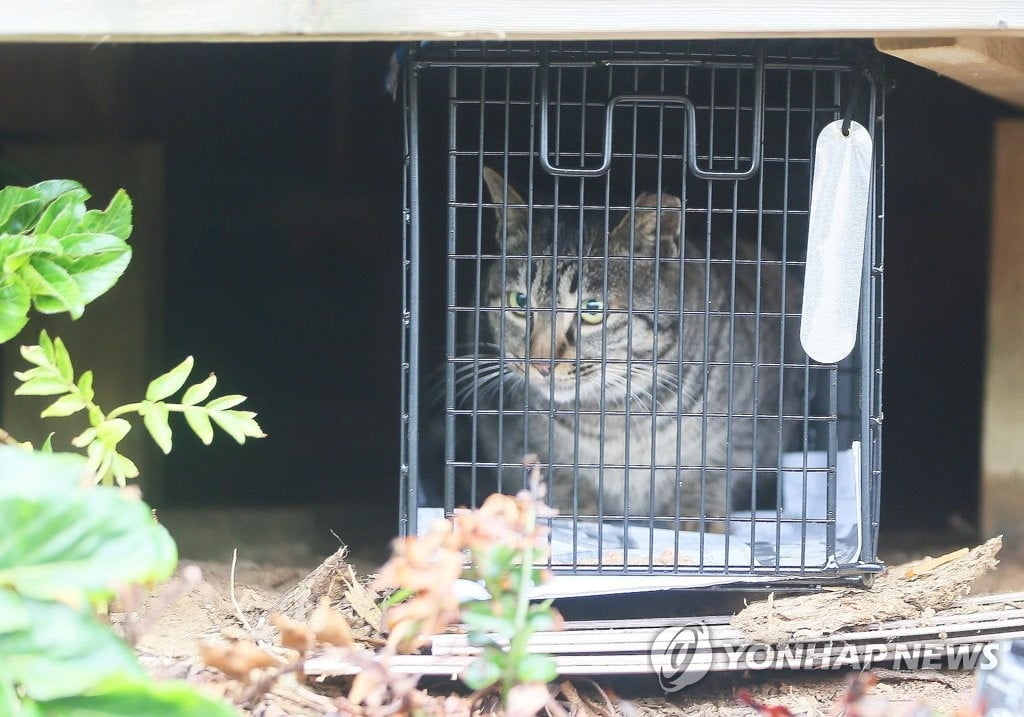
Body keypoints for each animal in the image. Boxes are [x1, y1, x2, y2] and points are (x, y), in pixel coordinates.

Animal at [454, 166, 798, 528]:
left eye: (592, 310)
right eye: (519, 301)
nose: (540, 364)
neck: (617, 418)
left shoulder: (742, 430)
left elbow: (706, 480)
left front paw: (698, 523)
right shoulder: (524, 444)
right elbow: (562, 487)